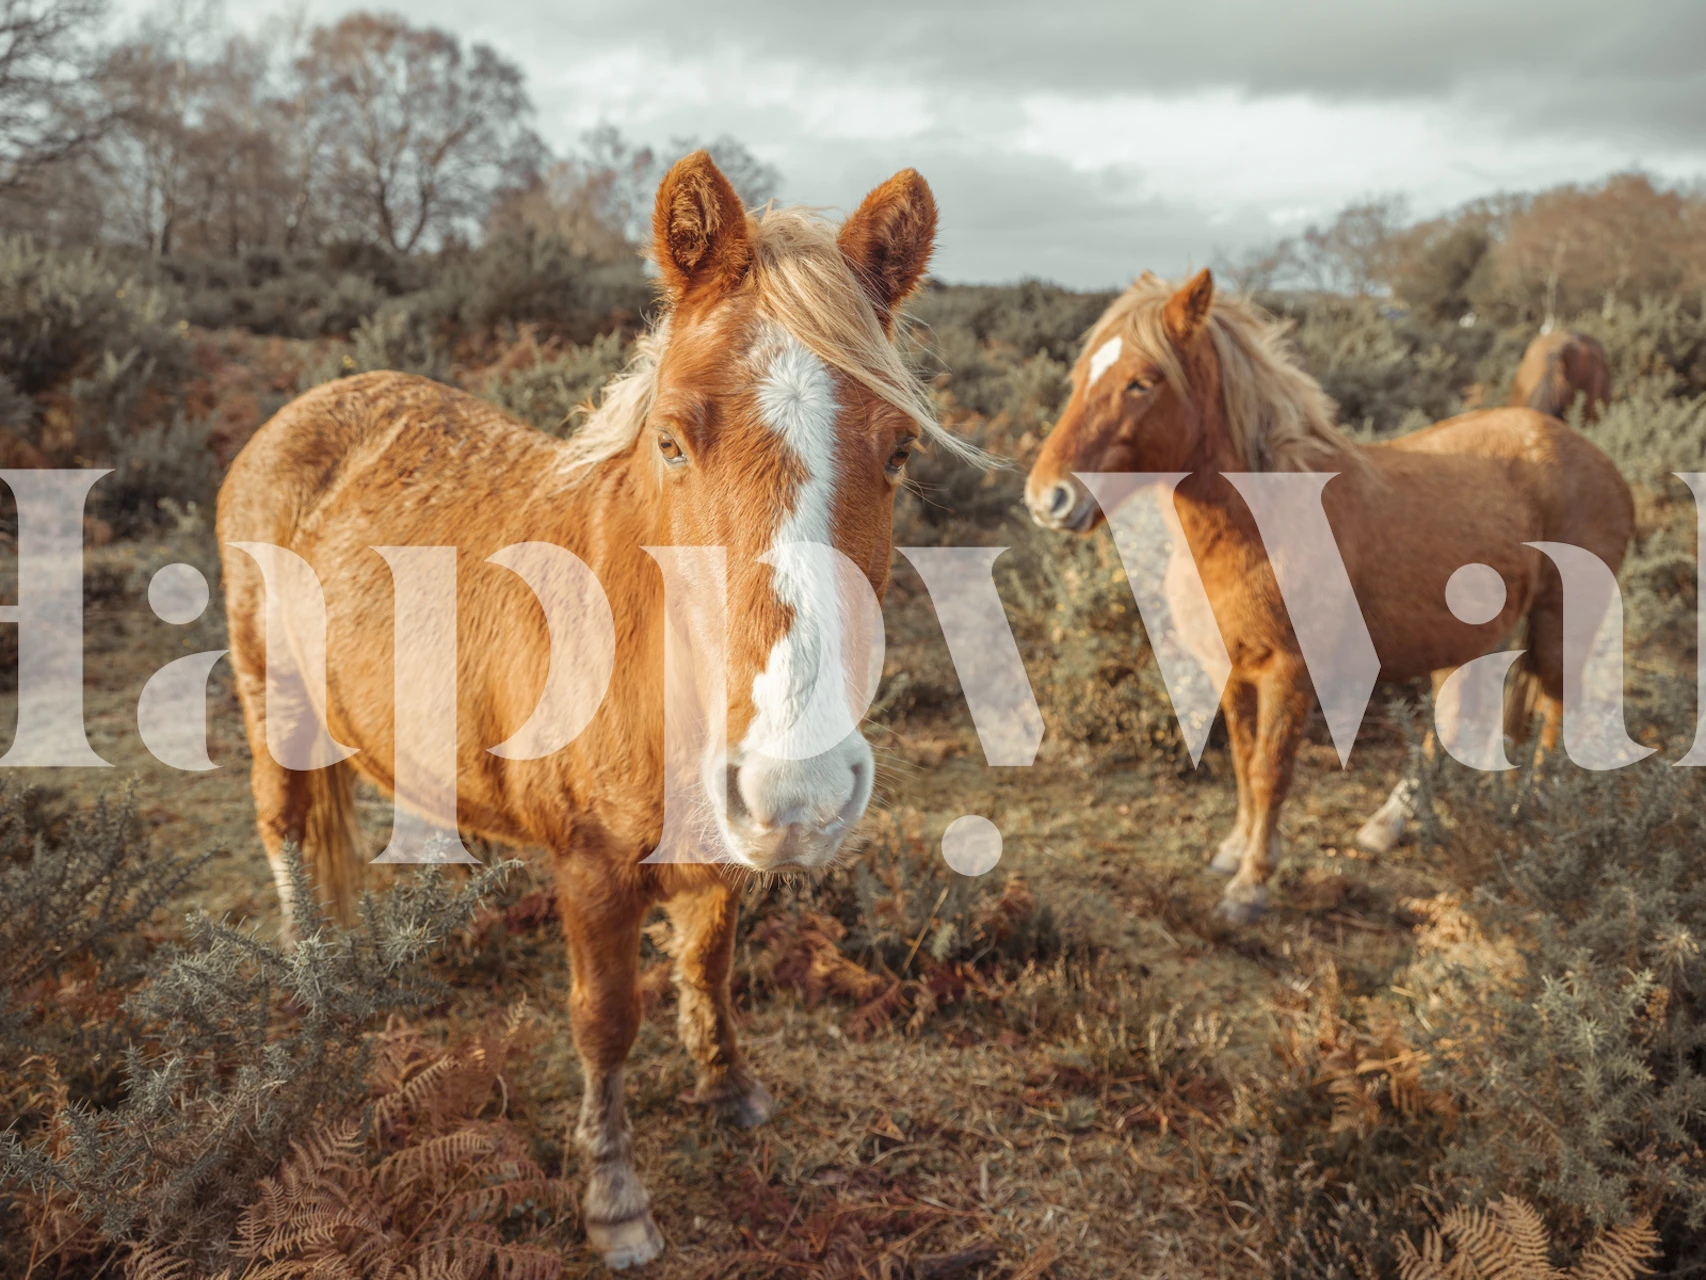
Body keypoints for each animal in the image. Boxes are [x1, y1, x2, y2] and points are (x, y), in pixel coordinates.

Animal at [218, 152, 965, 1268]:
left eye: (901, 451)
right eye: (671, 440)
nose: (799, 786)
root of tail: (303, 409)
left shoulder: (719, 850)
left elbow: (708, 963)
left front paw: (729, 1087)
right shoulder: (591, 869)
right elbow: (604, 1021)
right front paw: (614, 1197)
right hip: (271, 702)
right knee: (283, 832)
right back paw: (313, 974)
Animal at [1023, 269, 1634, 925]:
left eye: (1142, 381)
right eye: (1080, 376)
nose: (1048, 498)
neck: (1259, 522)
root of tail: (1595, 457)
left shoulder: (1289, 673)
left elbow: (1270, 771)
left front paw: (1251, 883)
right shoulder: (1230, 669)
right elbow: (1242, 763)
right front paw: (1234, 849)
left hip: (1561, 625)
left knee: (1554, 712)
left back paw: (1535, 811)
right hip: (1467, 640)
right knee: (1457, 717)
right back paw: (1391, 822)